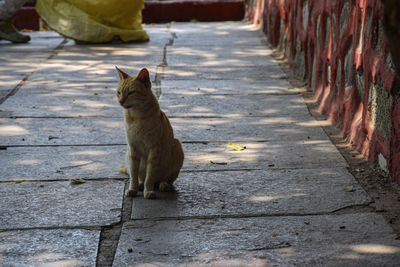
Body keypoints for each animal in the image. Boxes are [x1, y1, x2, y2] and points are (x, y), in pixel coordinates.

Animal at [115, 67, 184, 199]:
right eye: (119, 92)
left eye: (131, 92)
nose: (120, 101)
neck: (137, 117)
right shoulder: (132, 149)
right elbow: (133, 175)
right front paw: (133, 189)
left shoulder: (154, 149)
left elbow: (150, 175)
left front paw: (148, 191)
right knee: (140, 177)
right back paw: (140, 185)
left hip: (177, 146)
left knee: (166, 180)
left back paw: (163, 185)